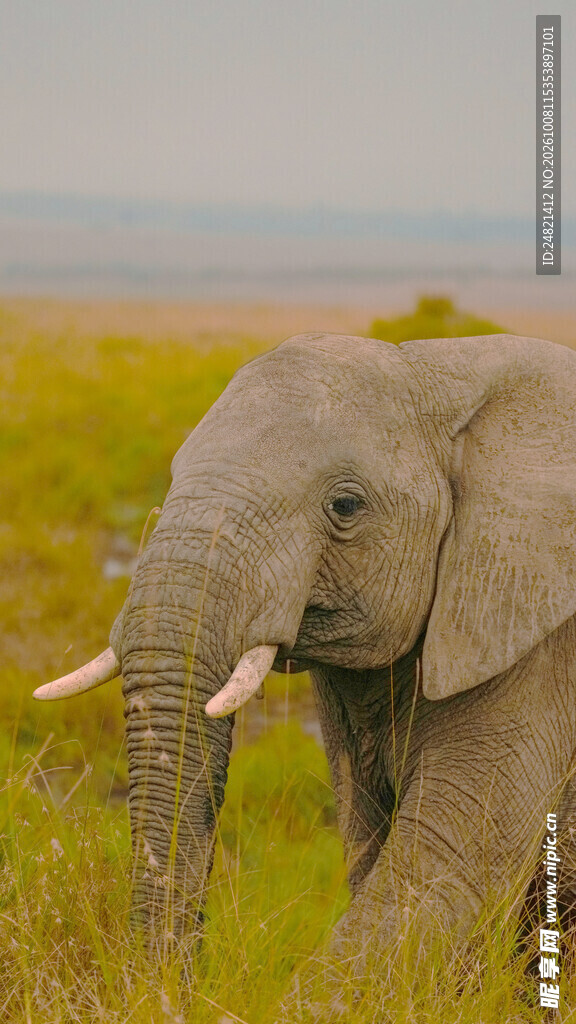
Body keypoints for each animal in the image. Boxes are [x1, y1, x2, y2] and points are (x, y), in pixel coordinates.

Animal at [34, 331, 576, 989]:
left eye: (345, 506)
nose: (175, 985)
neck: (439, 370)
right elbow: (371, 844)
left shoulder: (536, 633)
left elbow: (448, 854)